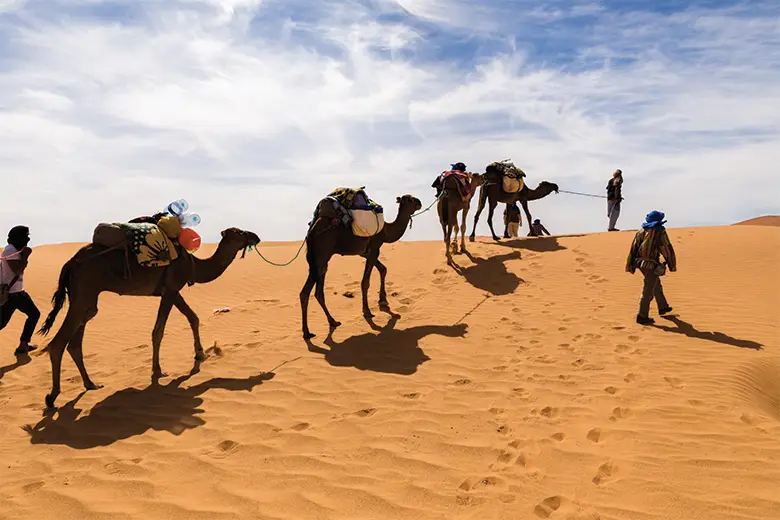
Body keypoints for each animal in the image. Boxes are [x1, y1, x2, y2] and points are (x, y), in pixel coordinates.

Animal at [38, 227, 260, 408]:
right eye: (240, 232)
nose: (256, 236)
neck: (194, 265)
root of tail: (70, 263)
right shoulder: (171, 289)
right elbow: (158, 330)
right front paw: (158, 371)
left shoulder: (172, 291)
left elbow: (193, 317)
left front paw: (200, 354)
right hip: (84, 292)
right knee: (58, 343)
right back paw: (52, 397)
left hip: (86, 299)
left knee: (75, 341)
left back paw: (90, 384)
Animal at [300, 194, 422, 340]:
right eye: (410, 199)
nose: (420, 202)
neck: (385, 232)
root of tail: (312, 230)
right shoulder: (375, 248)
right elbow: (365, 282)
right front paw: (367, 311)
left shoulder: (365, 252)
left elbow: (383, 269)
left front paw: (383, 300)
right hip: (321, 255)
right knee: (305, 292)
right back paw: (307, 332)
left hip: (319, 259)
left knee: (318, 291)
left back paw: (332, 321)